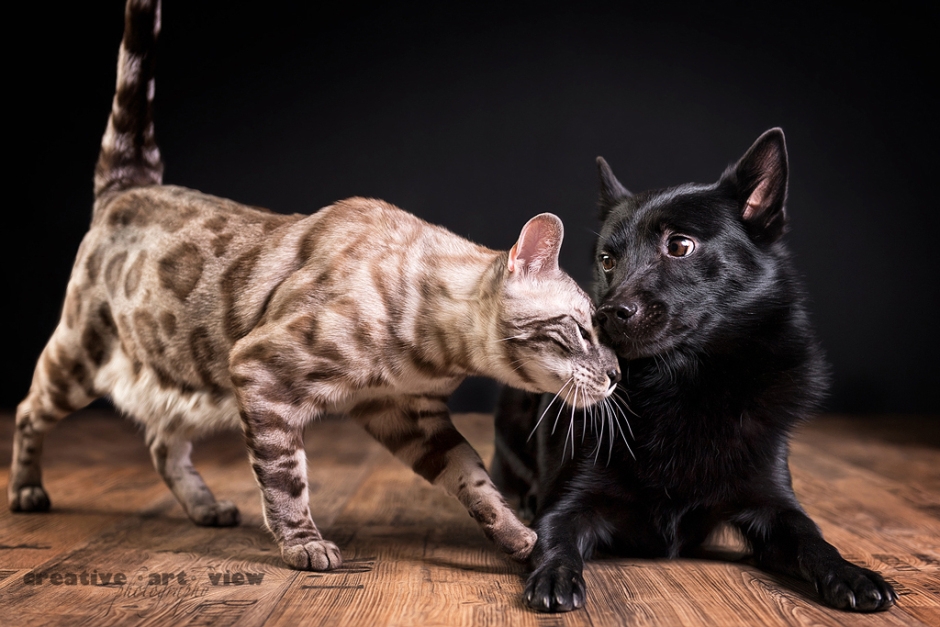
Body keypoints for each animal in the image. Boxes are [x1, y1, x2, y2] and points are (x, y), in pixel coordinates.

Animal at [9, 0, 624, 572]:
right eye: (583, 329)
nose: (618, 373)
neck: (435, 356)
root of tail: (130, 188)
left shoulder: (410, 414)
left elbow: (474, 479)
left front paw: (518, 536)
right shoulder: (260, 369)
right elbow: (286, 479)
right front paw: (304, 545)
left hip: (194, 385)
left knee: (162, 442)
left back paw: (206, 507)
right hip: (82, 362)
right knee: (28, 410)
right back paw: (26, 490)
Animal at [492, 127, 896, 612]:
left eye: (680, 245)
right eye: (608, 260)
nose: (603, 317)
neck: (684, 386)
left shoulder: (774, 505)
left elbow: (812, 537)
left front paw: (850, 573)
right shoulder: (569, 503)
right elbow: (553, 537)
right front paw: (554, 573)